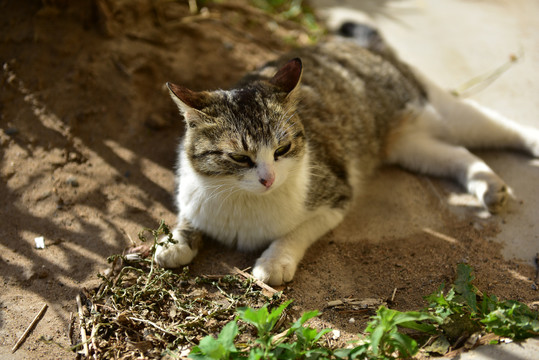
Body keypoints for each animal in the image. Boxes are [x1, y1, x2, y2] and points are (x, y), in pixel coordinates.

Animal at [154, 23, 539, 286]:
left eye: (282, 149)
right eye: (240, 158)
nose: (268, 179)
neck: (242, 204)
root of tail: (346, 44)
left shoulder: (336, 196)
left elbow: (295, 233)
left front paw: (274, 262)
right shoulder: (192, 194)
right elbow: (187, 217)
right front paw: (174, 242)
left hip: (447, 112)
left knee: (500, 126)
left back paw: (526, 148)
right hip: (414, 148)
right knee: (459, 154)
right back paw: (489, 188)